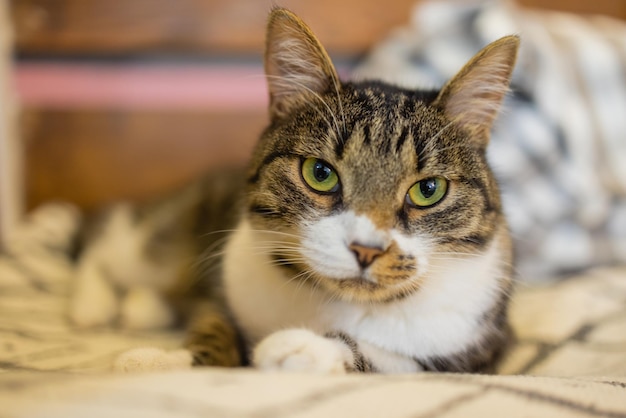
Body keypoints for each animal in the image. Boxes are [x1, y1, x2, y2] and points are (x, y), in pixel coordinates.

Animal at [74, 6, 520, 374]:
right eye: (320, 173)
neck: (343, 303)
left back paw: (142, 306)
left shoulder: (478, 352)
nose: (367, 250)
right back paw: (93, 304)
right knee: (106, 235)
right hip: (156, 244)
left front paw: (302, 348)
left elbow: (390, 361)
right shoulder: (224, 289)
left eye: (428, 189)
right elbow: (214, 326)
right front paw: (164, 360)